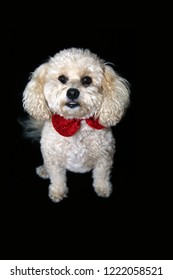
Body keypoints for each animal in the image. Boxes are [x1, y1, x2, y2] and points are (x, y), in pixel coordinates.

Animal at [22, 47, 130, 201]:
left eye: (87, 80)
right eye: (62, 79)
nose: (72, 92)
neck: (75, 122)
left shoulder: (105, 157)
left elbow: (101, 176)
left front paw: (103, 189)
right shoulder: (53, 159)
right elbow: (57, 178)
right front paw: (57, 192)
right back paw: (44, 170)